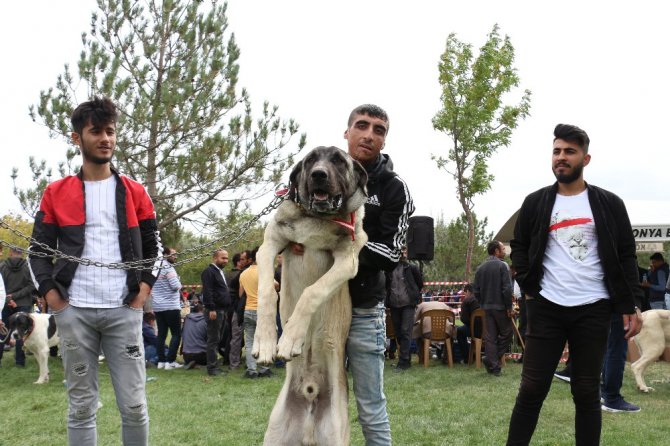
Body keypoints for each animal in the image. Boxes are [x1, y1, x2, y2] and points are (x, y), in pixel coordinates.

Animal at [253, 145, 368, 444]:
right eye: (310, 161)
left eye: (338, 161)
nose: (318, 175)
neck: (318, 219)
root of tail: (310, 393)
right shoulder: (269, 245)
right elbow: (267, 291)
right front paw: (266, 341)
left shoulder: (348, 261)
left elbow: (312, 292)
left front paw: (291, 339)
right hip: (274, 434)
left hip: (336, 434)